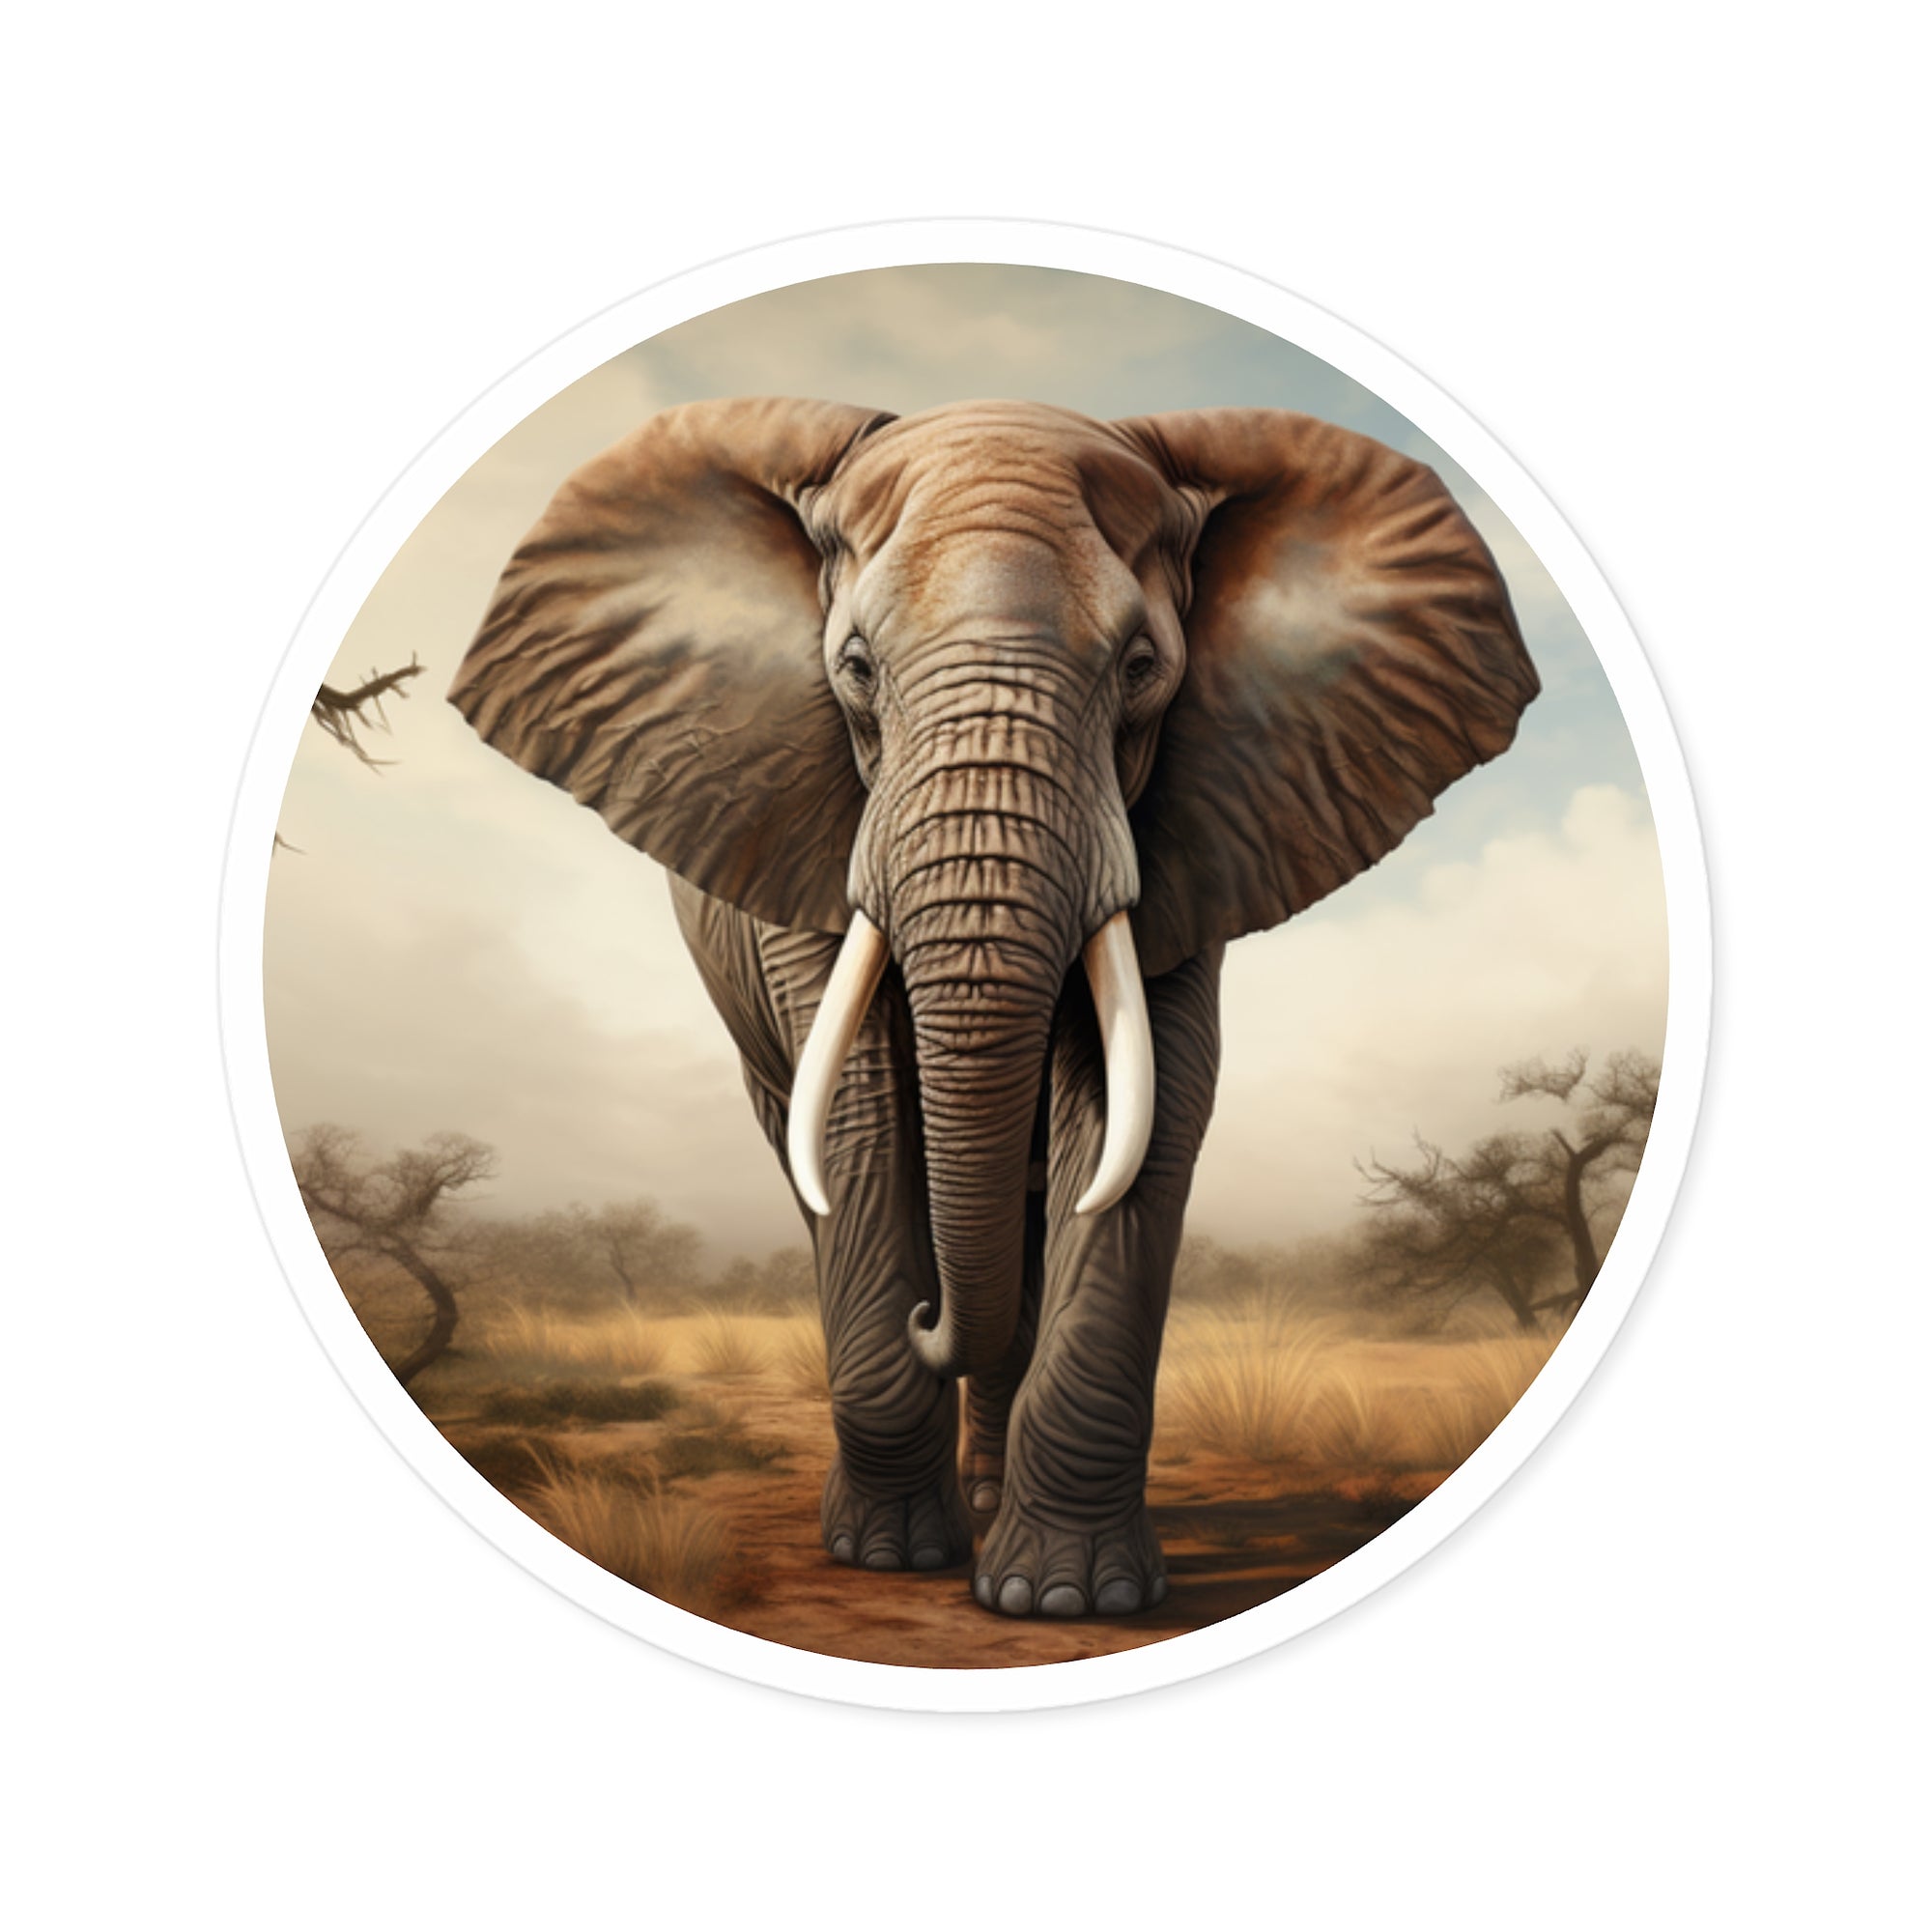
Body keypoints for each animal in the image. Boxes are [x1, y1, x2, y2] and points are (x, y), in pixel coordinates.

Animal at [448, 397, 1538, 1619]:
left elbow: (1137, 1114)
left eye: (1142, 666)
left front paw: (1064, 1596)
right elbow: (863, 1121)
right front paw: (884, 1553)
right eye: (854, 667)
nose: (928, 1322)